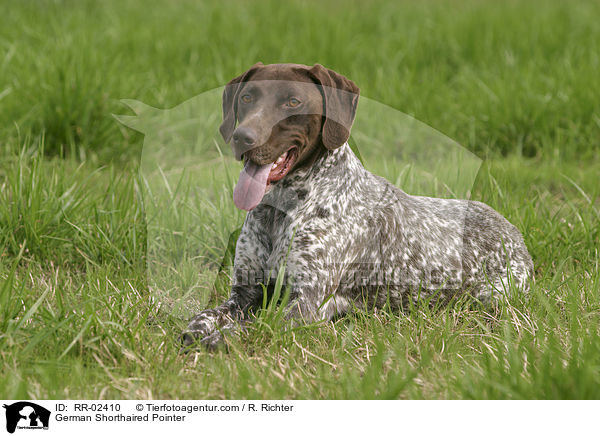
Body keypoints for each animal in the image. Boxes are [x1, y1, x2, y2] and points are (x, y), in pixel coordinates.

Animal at [180, 62, 532, 348]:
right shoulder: (244, 295)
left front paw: (222, 338)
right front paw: (199, 330)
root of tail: (514, 232)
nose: (243, 137)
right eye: (247, 98)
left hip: (493, 297)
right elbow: (203, 317)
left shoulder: (304, 303)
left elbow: (254, 328)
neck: (280, 210)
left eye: (292, 101)